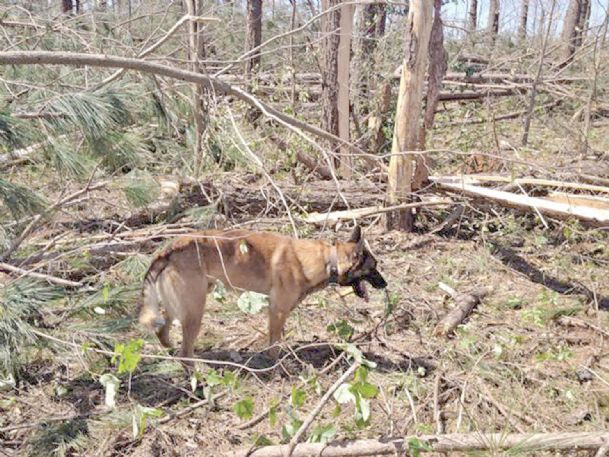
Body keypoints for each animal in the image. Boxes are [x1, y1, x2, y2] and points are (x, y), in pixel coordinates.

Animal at [138, 226, 384, 358]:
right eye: (373, 268)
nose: (385, 284)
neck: (327, 260)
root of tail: (171, 248)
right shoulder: (277, 310)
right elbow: (274, 344)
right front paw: (277, 366)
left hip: (183, 306)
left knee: (163, 332)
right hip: (195, 311)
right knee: (185, 355)